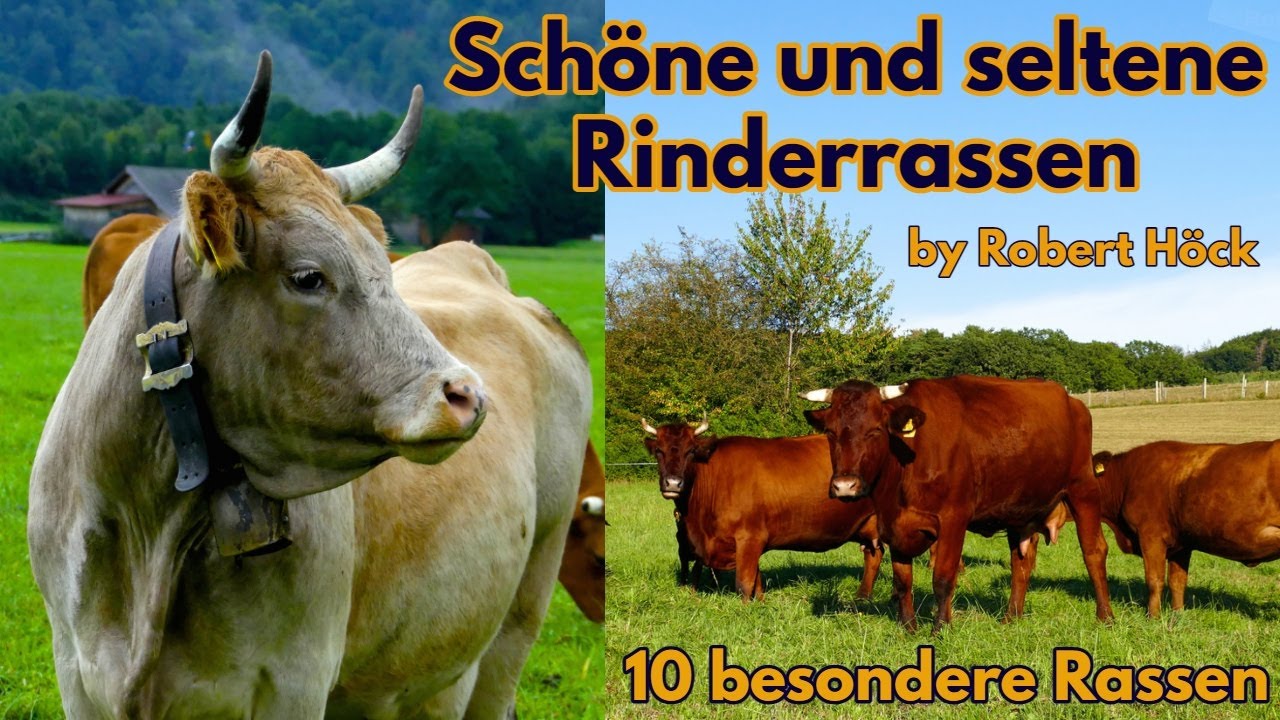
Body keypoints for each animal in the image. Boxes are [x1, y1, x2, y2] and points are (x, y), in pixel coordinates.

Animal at [641, 420, 882, 603]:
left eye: (691, 451)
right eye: (659, 451)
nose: (673, 483)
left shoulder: (750, 537)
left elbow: (744, 582)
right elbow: (756, 580)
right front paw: (761, 603)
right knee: (873, 556)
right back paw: (862, 598)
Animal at [801, 376, 1113, 633]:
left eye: (875, 430)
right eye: (830, 432)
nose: (845, 486)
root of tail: (1072, 401)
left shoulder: (954, 518)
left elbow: (943, 577)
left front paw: (940, 629)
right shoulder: (893, 524)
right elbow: (903, 581)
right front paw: (908, 628)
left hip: (1083, 488)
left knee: (1094, 552)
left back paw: (1105, 617)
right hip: (1019, 510)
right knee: (1020, 562)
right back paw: (1010, 618)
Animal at [1091, 441, 1280, 618]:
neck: (1126, 478)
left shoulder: (1151, 536)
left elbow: (1154, 580)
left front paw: (1153, 617)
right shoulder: (1181, 544)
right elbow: (1177, 581)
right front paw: (1177, 615)